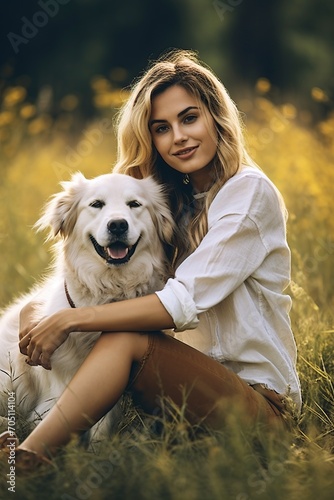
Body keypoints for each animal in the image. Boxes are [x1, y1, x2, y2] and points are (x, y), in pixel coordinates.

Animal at [0, 172, 174, 442]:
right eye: (96, 204)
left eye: (134, 204)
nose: (117, 225)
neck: (110, 291)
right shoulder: (58, 387)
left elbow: (100, 429)